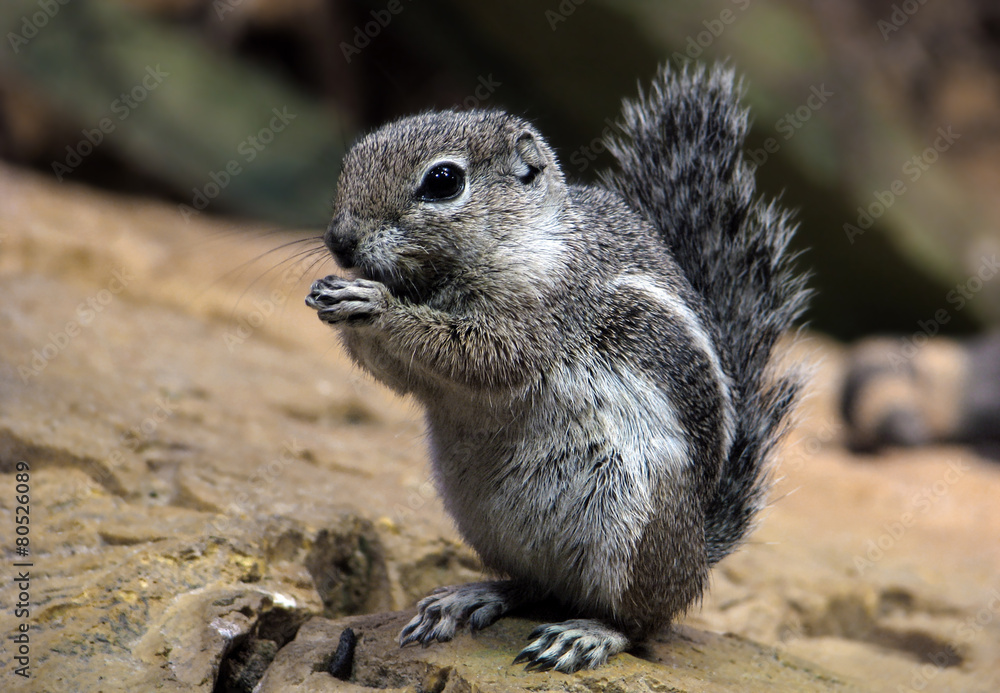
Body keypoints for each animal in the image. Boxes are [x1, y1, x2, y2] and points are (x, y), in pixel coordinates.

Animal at [306, 64, 808, 673]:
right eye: (353, 157)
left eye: (443, 181)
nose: (339, 241)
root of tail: (696, 552)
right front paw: (335, 296)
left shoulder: (544, 317)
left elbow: (480, 357)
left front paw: (375, 304)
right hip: (485, 521)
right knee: (538, 586)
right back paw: (472, 596)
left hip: (635, 529)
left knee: (643, 622)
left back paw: (587, 634)